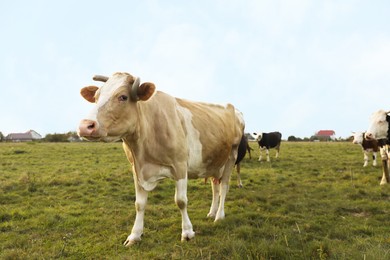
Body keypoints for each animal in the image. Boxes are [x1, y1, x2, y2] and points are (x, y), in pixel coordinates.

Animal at [77, 71, 245, 246]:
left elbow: (181, 201)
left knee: (224, 186)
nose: (85, 126)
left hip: (231, 157)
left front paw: (187, 232)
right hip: (213, 161)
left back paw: (219, 216)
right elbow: (139, 204)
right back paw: (212, 212)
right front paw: (134, 235)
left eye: (123, 97)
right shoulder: (136, 169)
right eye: (96, 96)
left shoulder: (180, 166)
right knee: (215, 186)